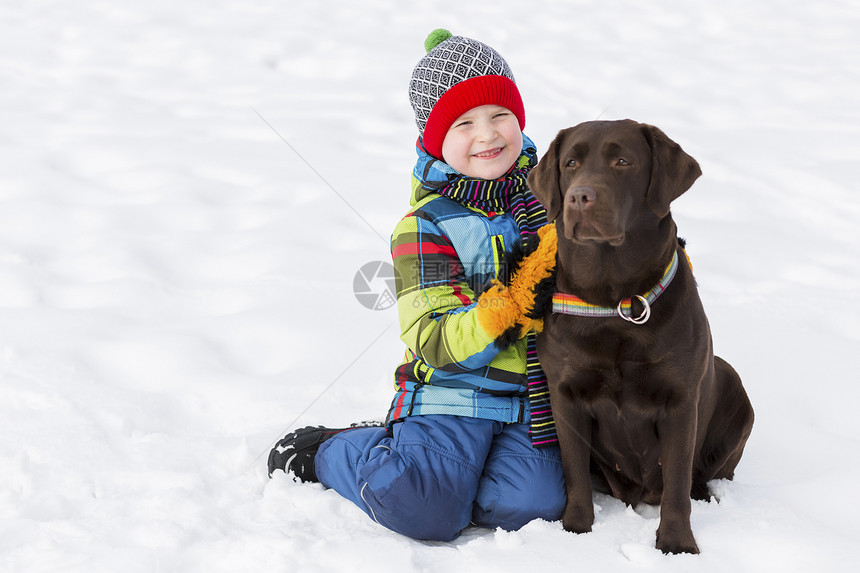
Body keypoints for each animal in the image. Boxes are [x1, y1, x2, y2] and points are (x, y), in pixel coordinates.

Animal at [528, 120, 756, 556]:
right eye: (570, 164)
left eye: (622, 161)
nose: (580, 196)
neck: (615, 302)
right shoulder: (564, 394)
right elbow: (574, 472)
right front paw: (575, 532)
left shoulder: (681, 401)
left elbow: (677, 485)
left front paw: (677, 545)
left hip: (731, 382)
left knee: (698, 478)